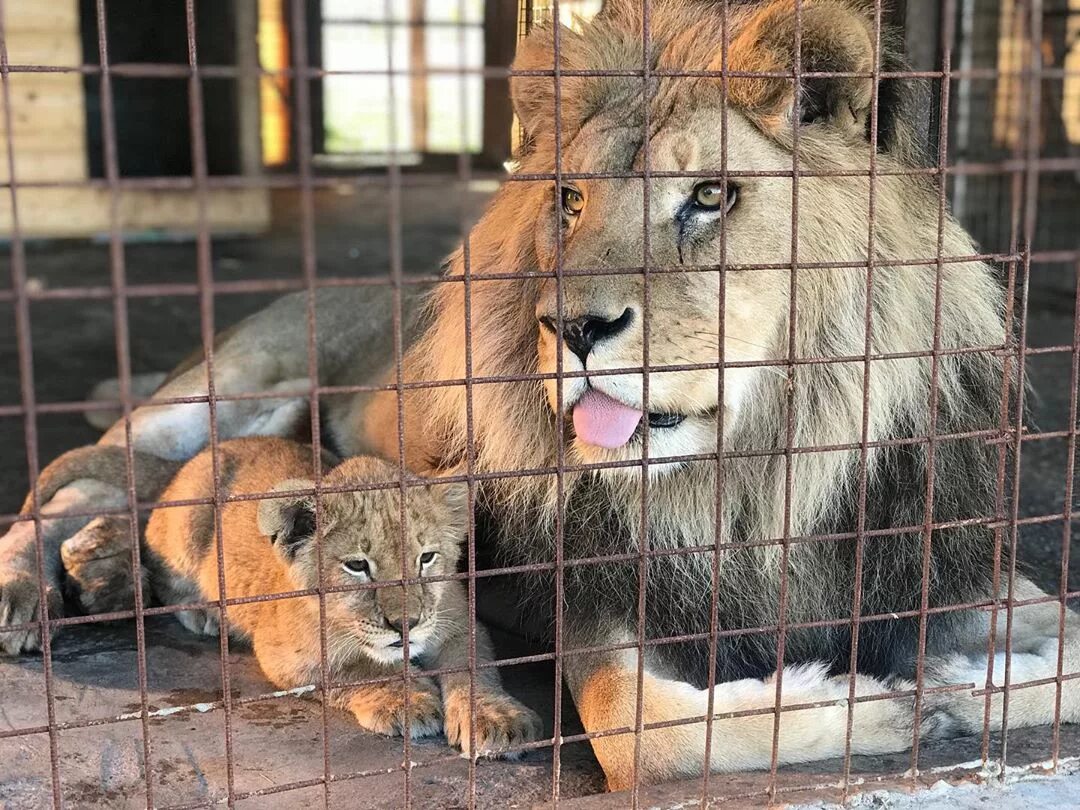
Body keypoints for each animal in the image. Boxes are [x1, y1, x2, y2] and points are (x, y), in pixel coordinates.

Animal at [2, 0, 1080, 794]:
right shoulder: (591, 601)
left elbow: (1059, 664)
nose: (573, 328)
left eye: (710, 197)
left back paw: (108, 572)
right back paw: (36, 595)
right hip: (233, 392)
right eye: (570, 200)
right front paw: (891, 700)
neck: (750, 479)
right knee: (70, 487)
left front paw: (957, 684)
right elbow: (646, 734)